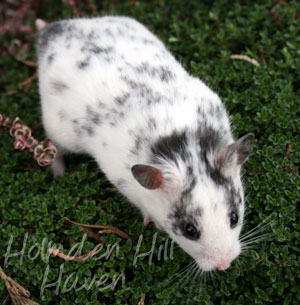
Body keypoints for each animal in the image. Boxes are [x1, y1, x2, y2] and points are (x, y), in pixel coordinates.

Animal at [36, 16, 254, 270]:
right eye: (189, 230)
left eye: (234, 217)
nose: (224, 265)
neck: (184, 146)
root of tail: (51, 30)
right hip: (57, 129)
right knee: (54, 150)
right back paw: (60, 175)